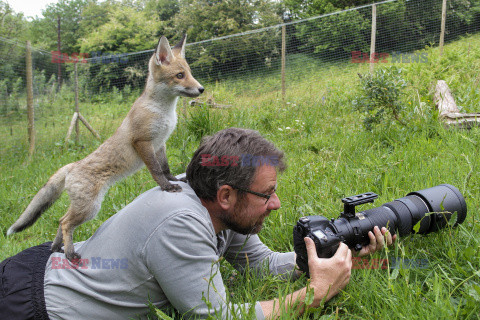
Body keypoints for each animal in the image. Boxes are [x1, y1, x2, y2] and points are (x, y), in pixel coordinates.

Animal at [6, 34, 203, 260]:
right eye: (180, 75)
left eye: (189, 73)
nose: (201, 89)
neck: (163, 111)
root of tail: (71, 166)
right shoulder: (143, 142)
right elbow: (156, 170)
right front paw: (166, 187)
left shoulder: (160, 143)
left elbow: (165, 167)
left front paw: (174, 179)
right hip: (90, 207)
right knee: (65, 223)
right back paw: (70, 253)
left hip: (83, 207)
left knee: (61, 220)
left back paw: (57, 248)